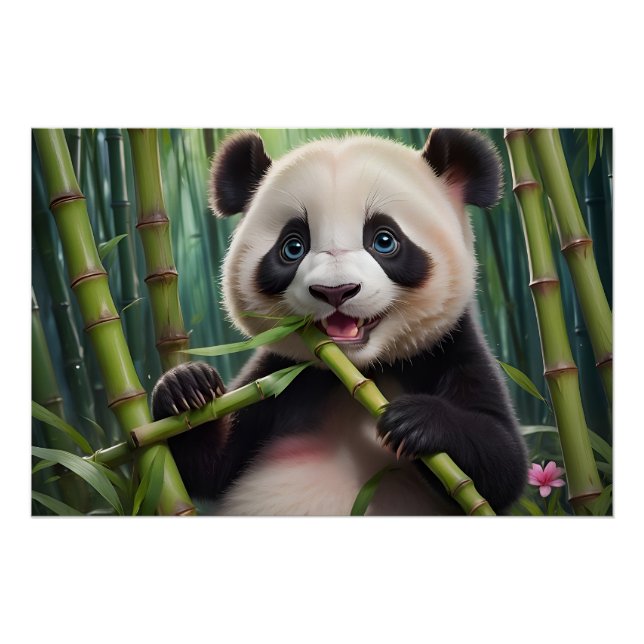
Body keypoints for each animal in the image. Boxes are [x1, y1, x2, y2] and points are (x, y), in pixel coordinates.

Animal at [151, 128, 528, 515]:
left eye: (385, 240)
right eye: (292, 247)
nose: (335, 291)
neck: (358, 373)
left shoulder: (447, 349)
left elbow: (502, 465)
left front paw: (414, 421)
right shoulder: (281, 378)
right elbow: (206, 467)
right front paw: (187, 387)